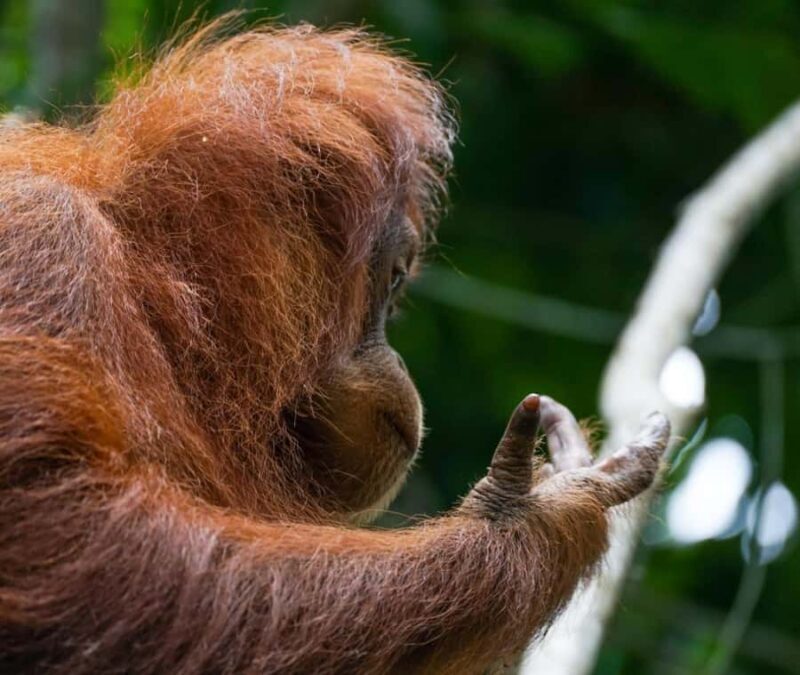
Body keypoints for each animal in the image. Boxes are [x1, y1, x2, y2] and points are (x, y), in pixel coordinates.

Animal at [0, 20, 670, 674]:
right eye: (394, 282)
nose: (402, 364)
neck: (149, 287)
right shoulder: (42, 239)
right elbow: (71, 539)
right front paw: (535, 516)